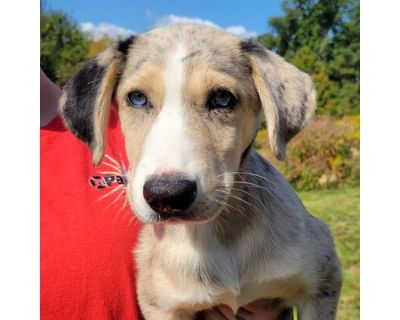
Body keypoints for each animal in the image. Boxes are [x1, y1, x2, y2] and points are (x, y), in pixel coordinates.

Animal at [61, 23, 342, 318]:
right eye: (137, 98)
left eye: (222, 98)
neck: (220, 235)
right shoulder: (162, 305)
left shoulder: (321, 284)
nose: (167, 195)